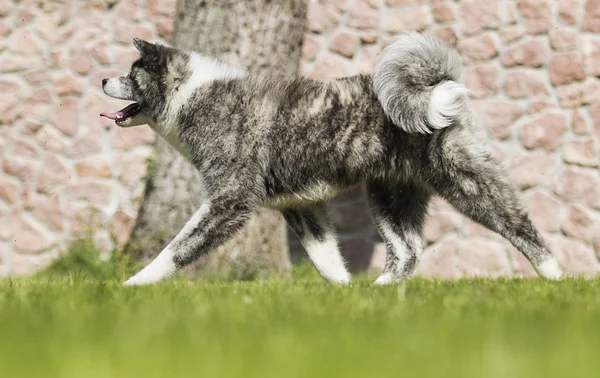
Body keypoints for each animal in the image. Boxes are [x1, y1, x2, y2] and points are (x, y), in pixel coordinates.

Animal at [99, 33, 564, 286]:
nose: (103, 79)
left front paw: (134, 284)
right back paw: (379, 292)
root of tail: (437, 86)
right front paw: (345, 299)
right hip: (390, 197)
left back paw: (558, 280)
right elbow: (327, 261)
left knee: (522, 227)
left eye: (132, 72)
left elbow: (176, 249)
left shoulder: (229, 201)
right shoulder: (299, 206)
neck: (191, 95)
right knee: (408, 252)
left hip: (468, 181)